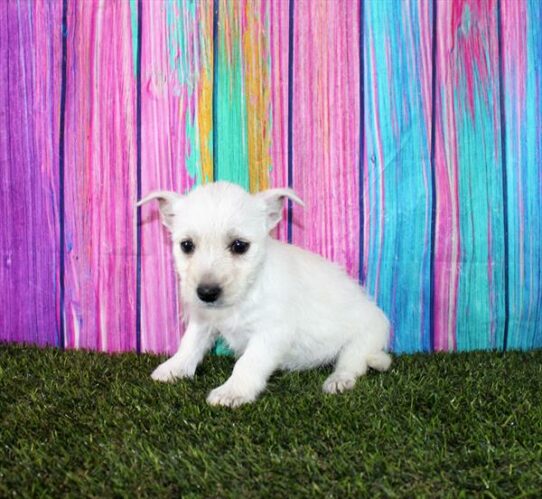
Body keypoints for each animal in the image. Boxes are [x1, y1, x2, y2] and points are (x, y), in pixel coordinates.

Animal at [137, 182, 392, 408]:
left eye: (240, 246)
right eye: (187, 245)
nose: (207, 293)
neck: (245, 294)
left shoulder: (270, 334)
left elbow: (247, 363)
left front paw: (232, 392)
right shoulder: (204, 320)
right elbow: (189, 344)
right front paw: (173, 368)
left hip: (363, 339)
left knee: (352, 364)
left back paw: (339, 380)